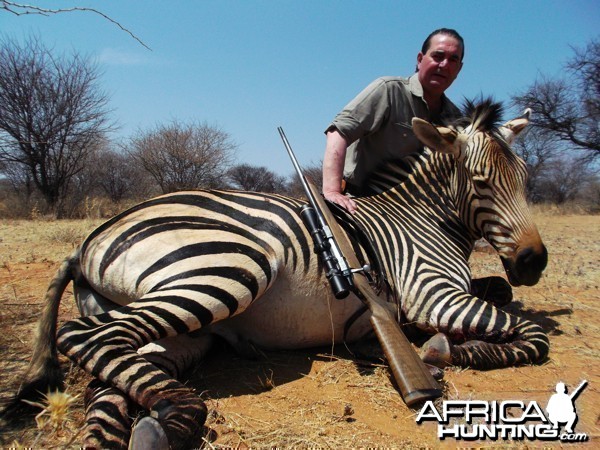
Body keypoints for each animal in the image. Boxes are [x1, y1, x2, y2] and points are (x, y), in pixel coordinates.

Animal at [2, 99, 548, 450]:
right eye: (480, 182)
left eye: (525, 179)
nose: (533, 261)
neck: (418, 219)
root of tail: (87, 241)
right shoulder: (431, 295)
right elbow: (531, 334)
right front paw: (453, 349)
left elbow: (501, 293)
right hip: (231, 269)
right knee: (84, 337)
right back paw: (181, 415)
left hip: (183, 334)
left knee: (110, 379)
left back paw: (149, 428)